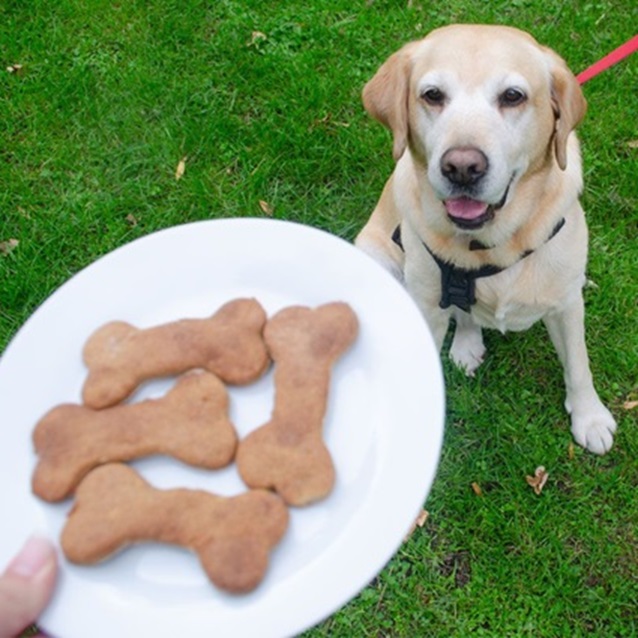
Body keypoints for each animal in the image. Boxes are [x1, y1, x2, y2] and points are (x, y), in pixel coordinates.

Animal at [358, 23, 616, 456]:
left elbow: (579, 364)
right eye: (432, 95)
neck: (493, 243)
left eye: (513, 96)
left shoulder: (566, 304)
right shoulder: (427, 305)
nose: (462, 167)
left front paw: (590, 417)